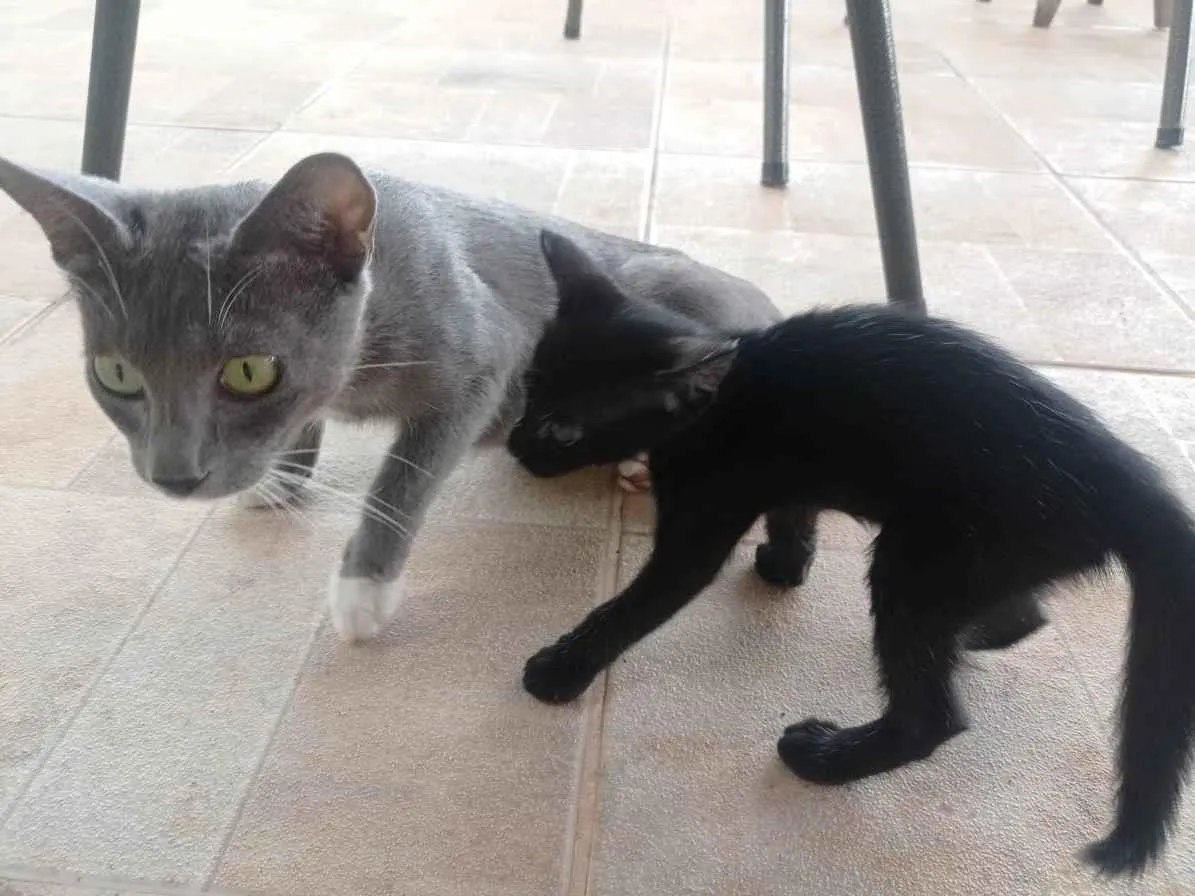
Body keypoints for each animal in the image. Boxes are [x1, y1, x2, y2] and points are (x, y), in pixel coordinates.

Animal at [0, 151, 781, 642]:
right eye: (116, 375)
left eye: (250, 372)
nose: (174, 477)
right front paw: (282, 476)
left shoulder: (485, 360)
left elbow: (404, 475)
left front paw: (362, 587)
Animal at [506, 229, 1195, 877]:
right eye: (529, 387)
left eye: (564, 429)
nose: (515, 445)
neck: (721, 401)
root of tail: (1128, 481)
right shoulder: (787, 477)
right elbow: (793, 513)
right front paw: (785, 565)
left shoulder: (701, 522)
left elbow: (638, 603)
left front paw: (562, 667)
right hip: (971, 559)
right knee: (1021, 617)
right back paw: (976, 633)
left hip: (919, 558)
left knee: (930, 717)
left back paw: (826, 757)